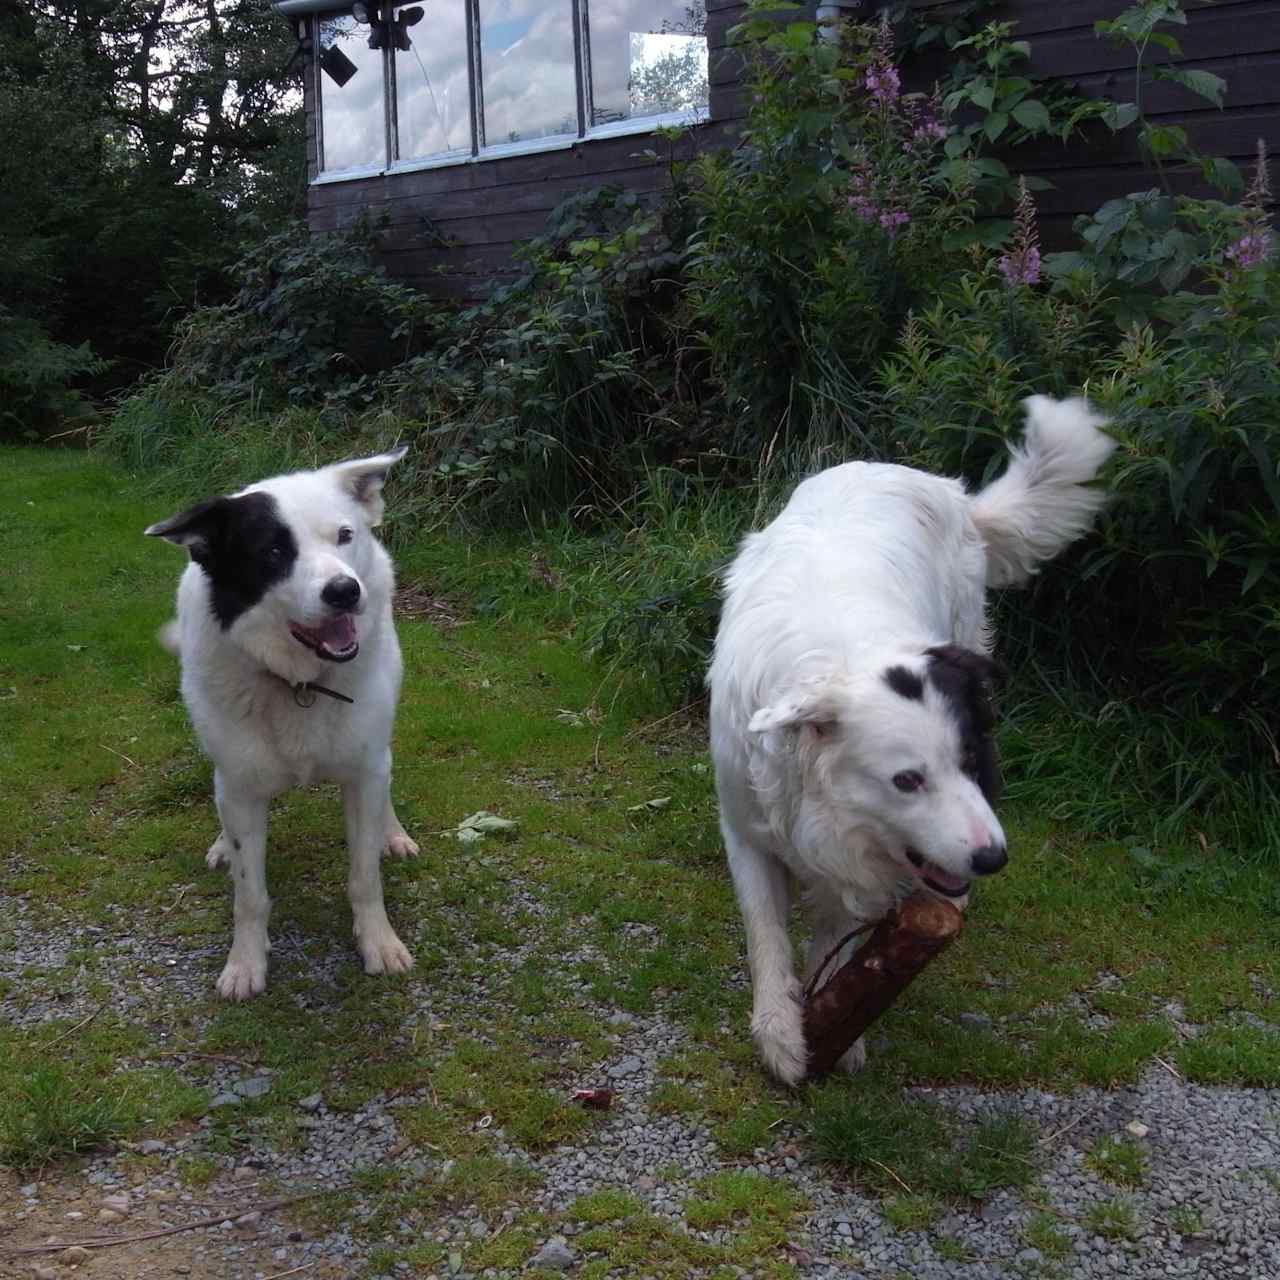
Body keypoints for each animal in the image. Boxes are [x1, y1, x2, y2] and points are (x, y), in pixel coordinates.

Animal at [145, 450, 417, 998]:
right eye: (272, 552)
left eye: (344, 535)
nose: (344, 591)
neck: (300, 684)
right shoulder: (240, 786)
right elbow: (249, 895)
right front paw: (245, 964)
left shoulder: (364, 770)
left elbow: (365, 875)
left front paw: (378, 942)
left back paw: (392, 832)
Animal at [706, 394, 1116, 1085]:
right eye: (906, 781)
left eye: (974, 762)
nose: (992, 858)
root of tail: (936, 482)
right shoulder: (746, 825)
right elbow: (765, 930)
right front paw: (782, 1034)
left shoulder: (858, 849)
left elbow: (836, 930)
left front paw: (834, 1020)